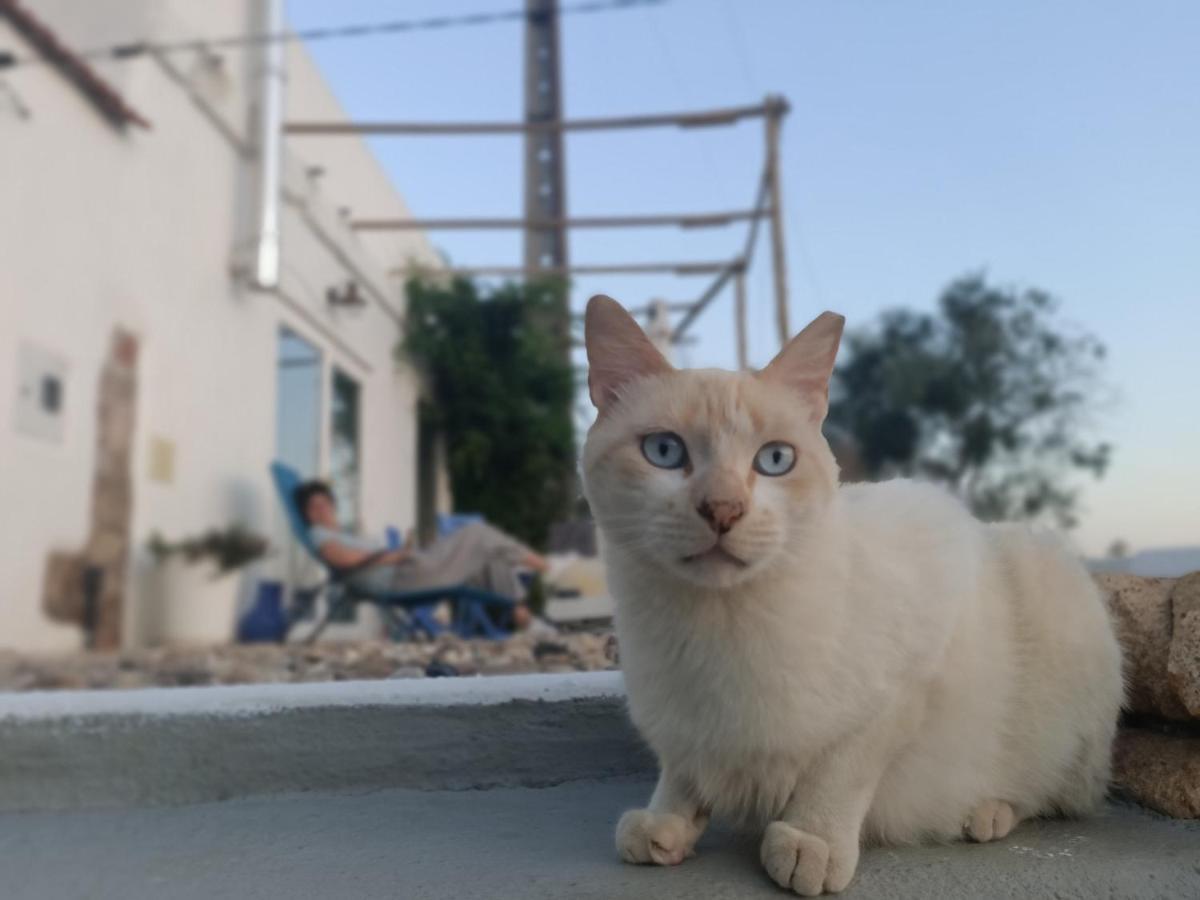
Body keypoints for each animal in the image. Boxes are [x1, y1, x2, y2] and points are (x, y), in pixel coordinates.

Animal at [580, 294, 1123, 897]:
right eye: (664, 451)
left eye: (774, 460)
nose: (723, 509)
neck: (709, 625)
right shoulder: (682, 724)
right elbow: (681, 770)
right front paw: (667, 823)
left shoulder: (906, 685)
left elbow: (840, 772)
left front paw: (808, 841)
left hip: (1055, 597)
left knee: (1055, 792)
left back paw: (986, 812)